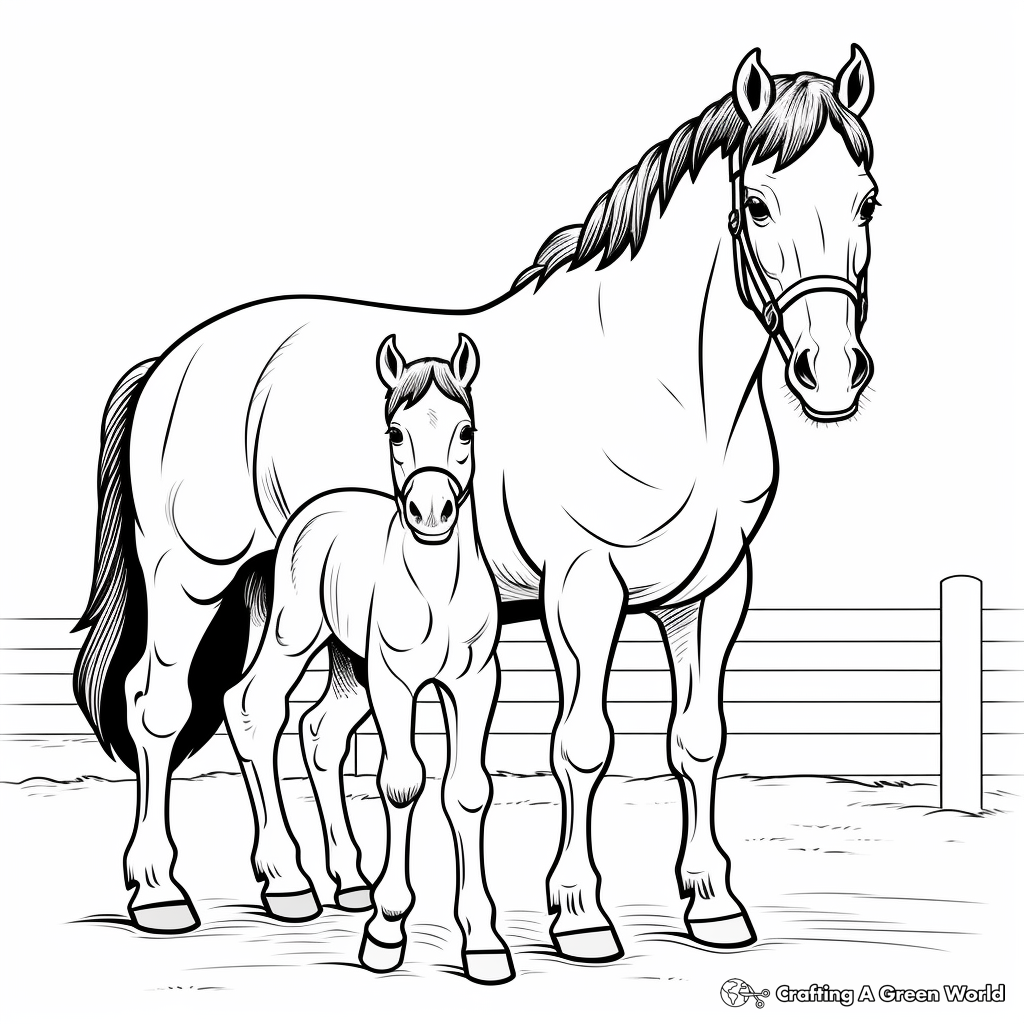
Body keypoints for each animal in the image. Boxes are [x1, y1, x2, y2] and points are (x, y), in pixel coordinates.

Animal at [221, 334, 514, 984]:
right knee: (252, 706)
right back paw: (289, 883)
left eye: (466, 430)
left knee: (321, 732)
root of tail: (311, 513)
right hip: (298, 634)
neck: (436, 589)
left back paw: (350, 881)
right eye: (395, 432)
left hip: (347, 662)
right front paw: (387, 929)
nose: (431, 513)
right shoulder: (395, 682)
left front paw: (483, 943)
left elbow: (468, 790)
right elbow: (402, 783)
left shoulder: (475, 683)